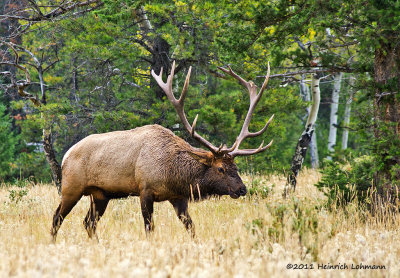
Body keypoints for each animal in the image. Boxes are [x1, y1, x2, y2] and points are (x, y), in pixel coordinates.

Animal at [50, 60, 274, 241]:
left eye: (235, 166)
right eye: (220, 168)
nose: (242, 189)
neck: (173, 173)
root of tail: (65, 155)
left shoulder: (179, 198)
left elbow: (191, 227)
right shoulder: (145, 190)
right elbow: (149, 228)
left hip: (100, 195)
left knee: (88, 223)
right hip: (71, 187)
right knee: (57, 217)